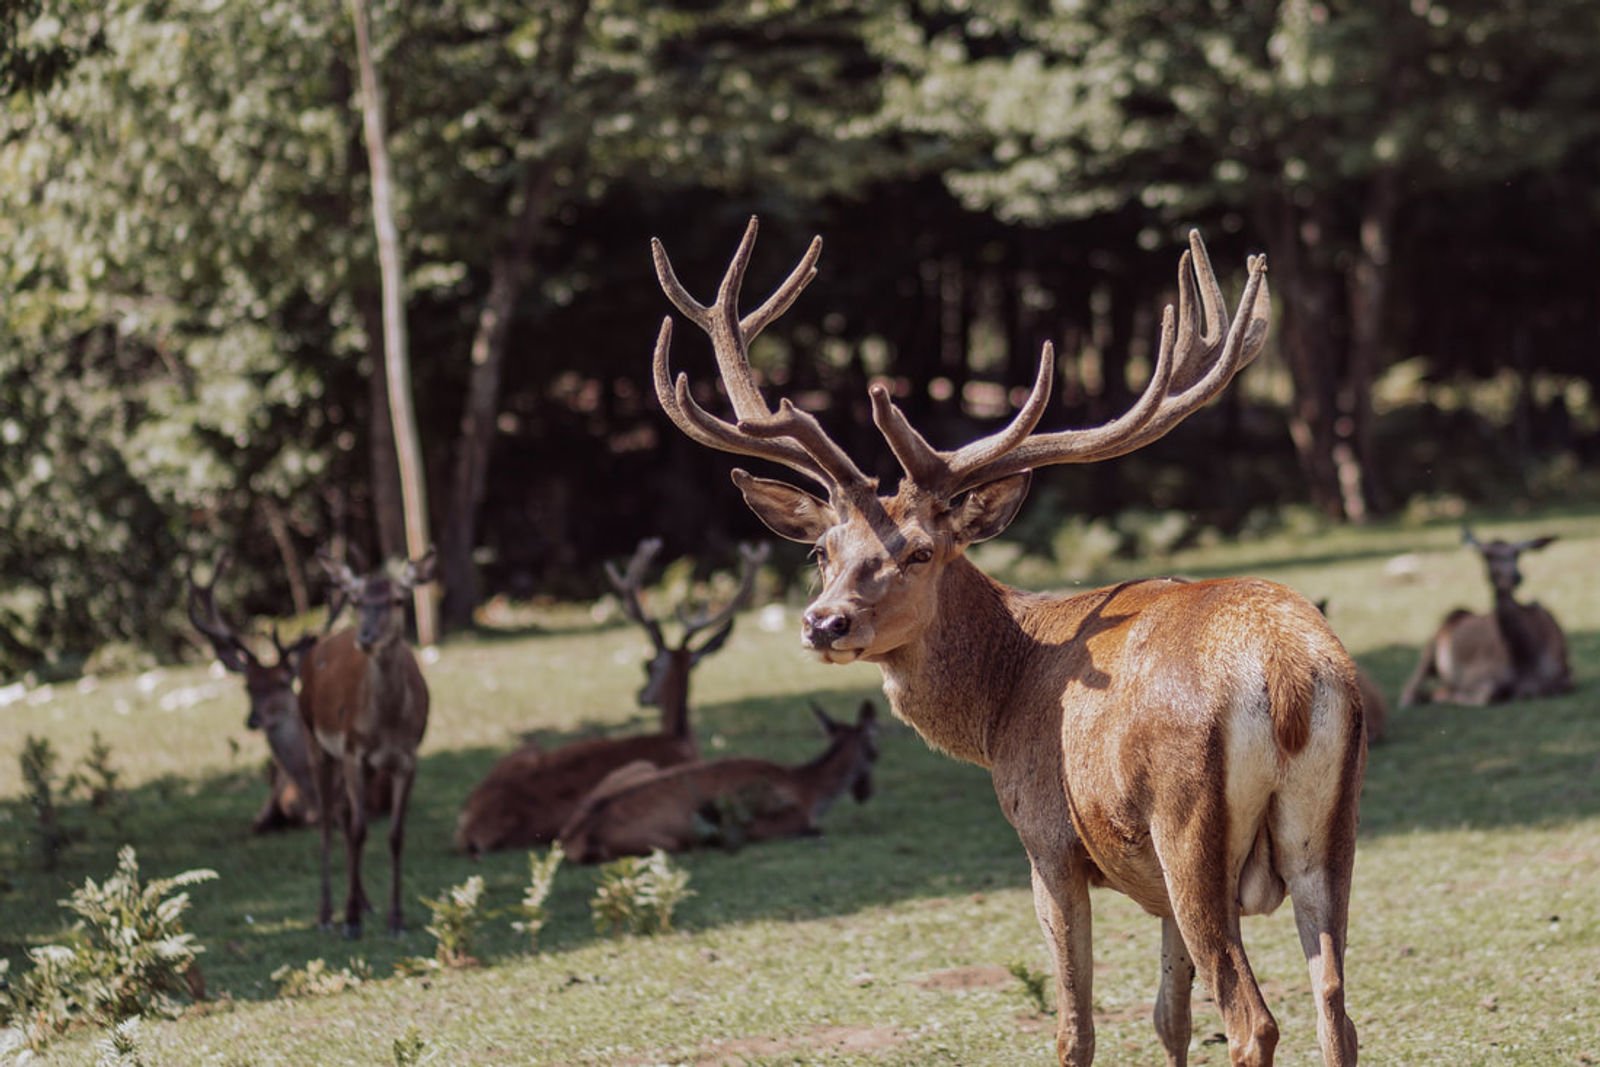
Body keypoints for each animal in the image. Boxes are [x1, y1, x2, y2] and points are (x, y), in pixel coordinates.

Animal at [299, 547, 434, 938]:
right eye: (356, 601)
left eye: (399, 599)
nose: (367, 637)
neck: (386, 726)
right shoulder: (352, 751)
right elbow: (360, 830)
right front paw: (351, 922)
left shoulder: (407, 758)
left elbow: (395, 834)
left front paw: (396, 919)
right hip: (316, 742)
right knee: (328, 819)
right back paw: (327, 914)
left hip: (366, 767)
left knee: (344, 814)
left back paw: (364, 902)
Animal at [559, 699, 879, 864]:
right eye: (875, 751)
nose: (865, 793)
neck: (807, 787)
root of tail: (573, 839)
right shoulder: (786, 818)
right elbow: (811, 828)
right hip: (665, 840)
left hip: (637, 768)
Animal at [645, 218, 1366, 1066]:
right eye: (822, 549)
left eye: (921, 552)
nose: (824, 622)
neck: (1002, 699)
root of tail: (1287, 675)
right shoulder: (1147, 877)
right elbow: (1169, 1014)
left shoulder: (1047, 837)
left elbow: (1075, 1027)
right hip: (1330, 831)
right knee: (1336, 1010)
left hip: (1190, 825)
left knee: (1254, 1018)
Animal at [1399, 529, 1571, 708]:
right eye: (1487, 555)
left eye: (1517, 553)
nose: (1516, 576)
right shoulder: (1477, 676)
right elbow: (1487, 694)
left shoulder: (1566, 677)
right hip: (1429, 649)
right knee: (1410, 689)